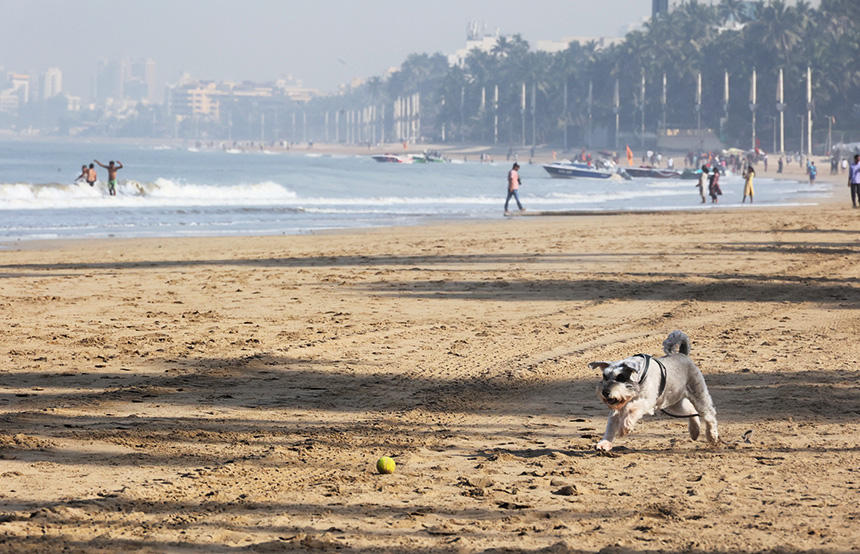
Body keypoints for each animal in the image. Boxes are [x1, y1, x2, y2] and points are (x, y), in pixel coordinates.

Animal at [592, 330, 720, 450]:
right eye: (604, 376)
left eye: (621, 377)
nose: (605, 392)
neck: (640, 376)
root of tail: (683, 355)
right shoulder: (618, 408)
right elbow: (611, 425)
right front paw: (604, 443)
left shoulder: (647, 401)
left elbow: (631, 408)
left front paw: (625, 427)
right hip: (673, 403)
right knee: (690, 410)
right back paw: (695, 431)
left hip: (698, 394)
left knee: (709, 414)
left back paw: (712, 436)